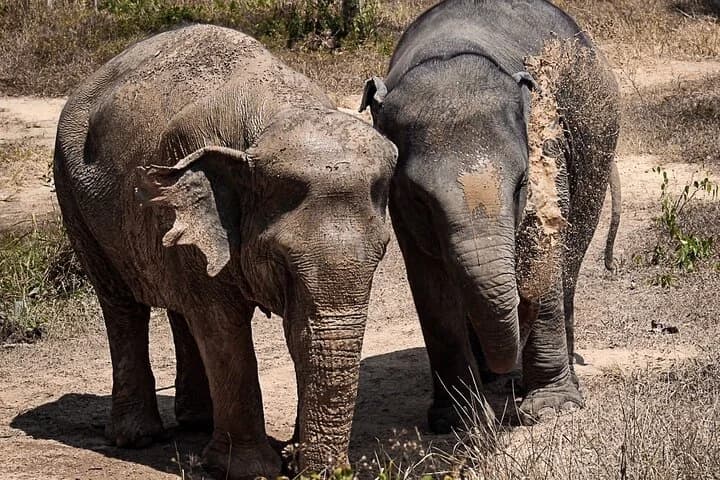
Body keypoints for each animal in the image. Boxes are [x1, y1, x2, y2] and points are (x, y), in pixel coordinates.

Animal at [53, 24, 398, 479]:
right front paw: (250, 469)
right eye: (282, 261)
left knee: (180, 305)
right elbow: (223, 324)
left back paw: (196, 423)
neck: (273, 119)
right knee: (123, 305)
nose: (312, 467)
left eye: (381, 254)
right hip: (74, 199)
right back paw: (138, 437)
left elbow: (291, 331)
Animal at [360, 0, 620, 431]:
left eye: (522, 184)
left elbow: (543, 245)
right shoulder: (399, 207)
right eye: (420, 198)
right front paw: (457, 421)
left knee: (570, 260)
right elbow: (429, 284)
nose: (522, 301)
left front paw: (552, 409)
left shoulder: (548, 149)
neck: (450, 55)